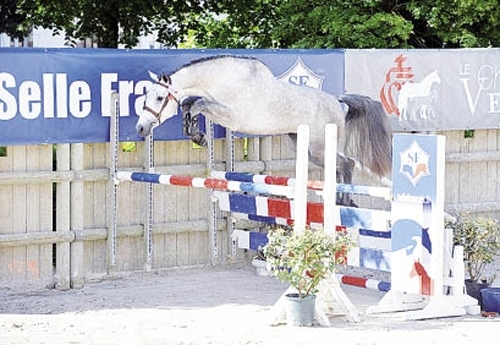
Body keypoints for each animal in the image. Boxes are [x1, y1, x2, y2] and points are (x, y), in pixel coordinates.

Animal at [137, 54, 394, 203]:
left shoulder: (232, 117)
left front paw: (197, 133)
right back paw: (340, 200)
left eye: (159, 98)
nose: (140, 128)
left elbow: (198, 103)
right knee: (339, 166)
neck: (224, 79)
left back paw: (346, 201)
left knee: (347, 164)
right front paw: (196, 134)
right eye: (146, 96)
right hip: (308, 148)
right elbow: (190, 103)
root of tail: (338, 101)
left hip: (318, 148)